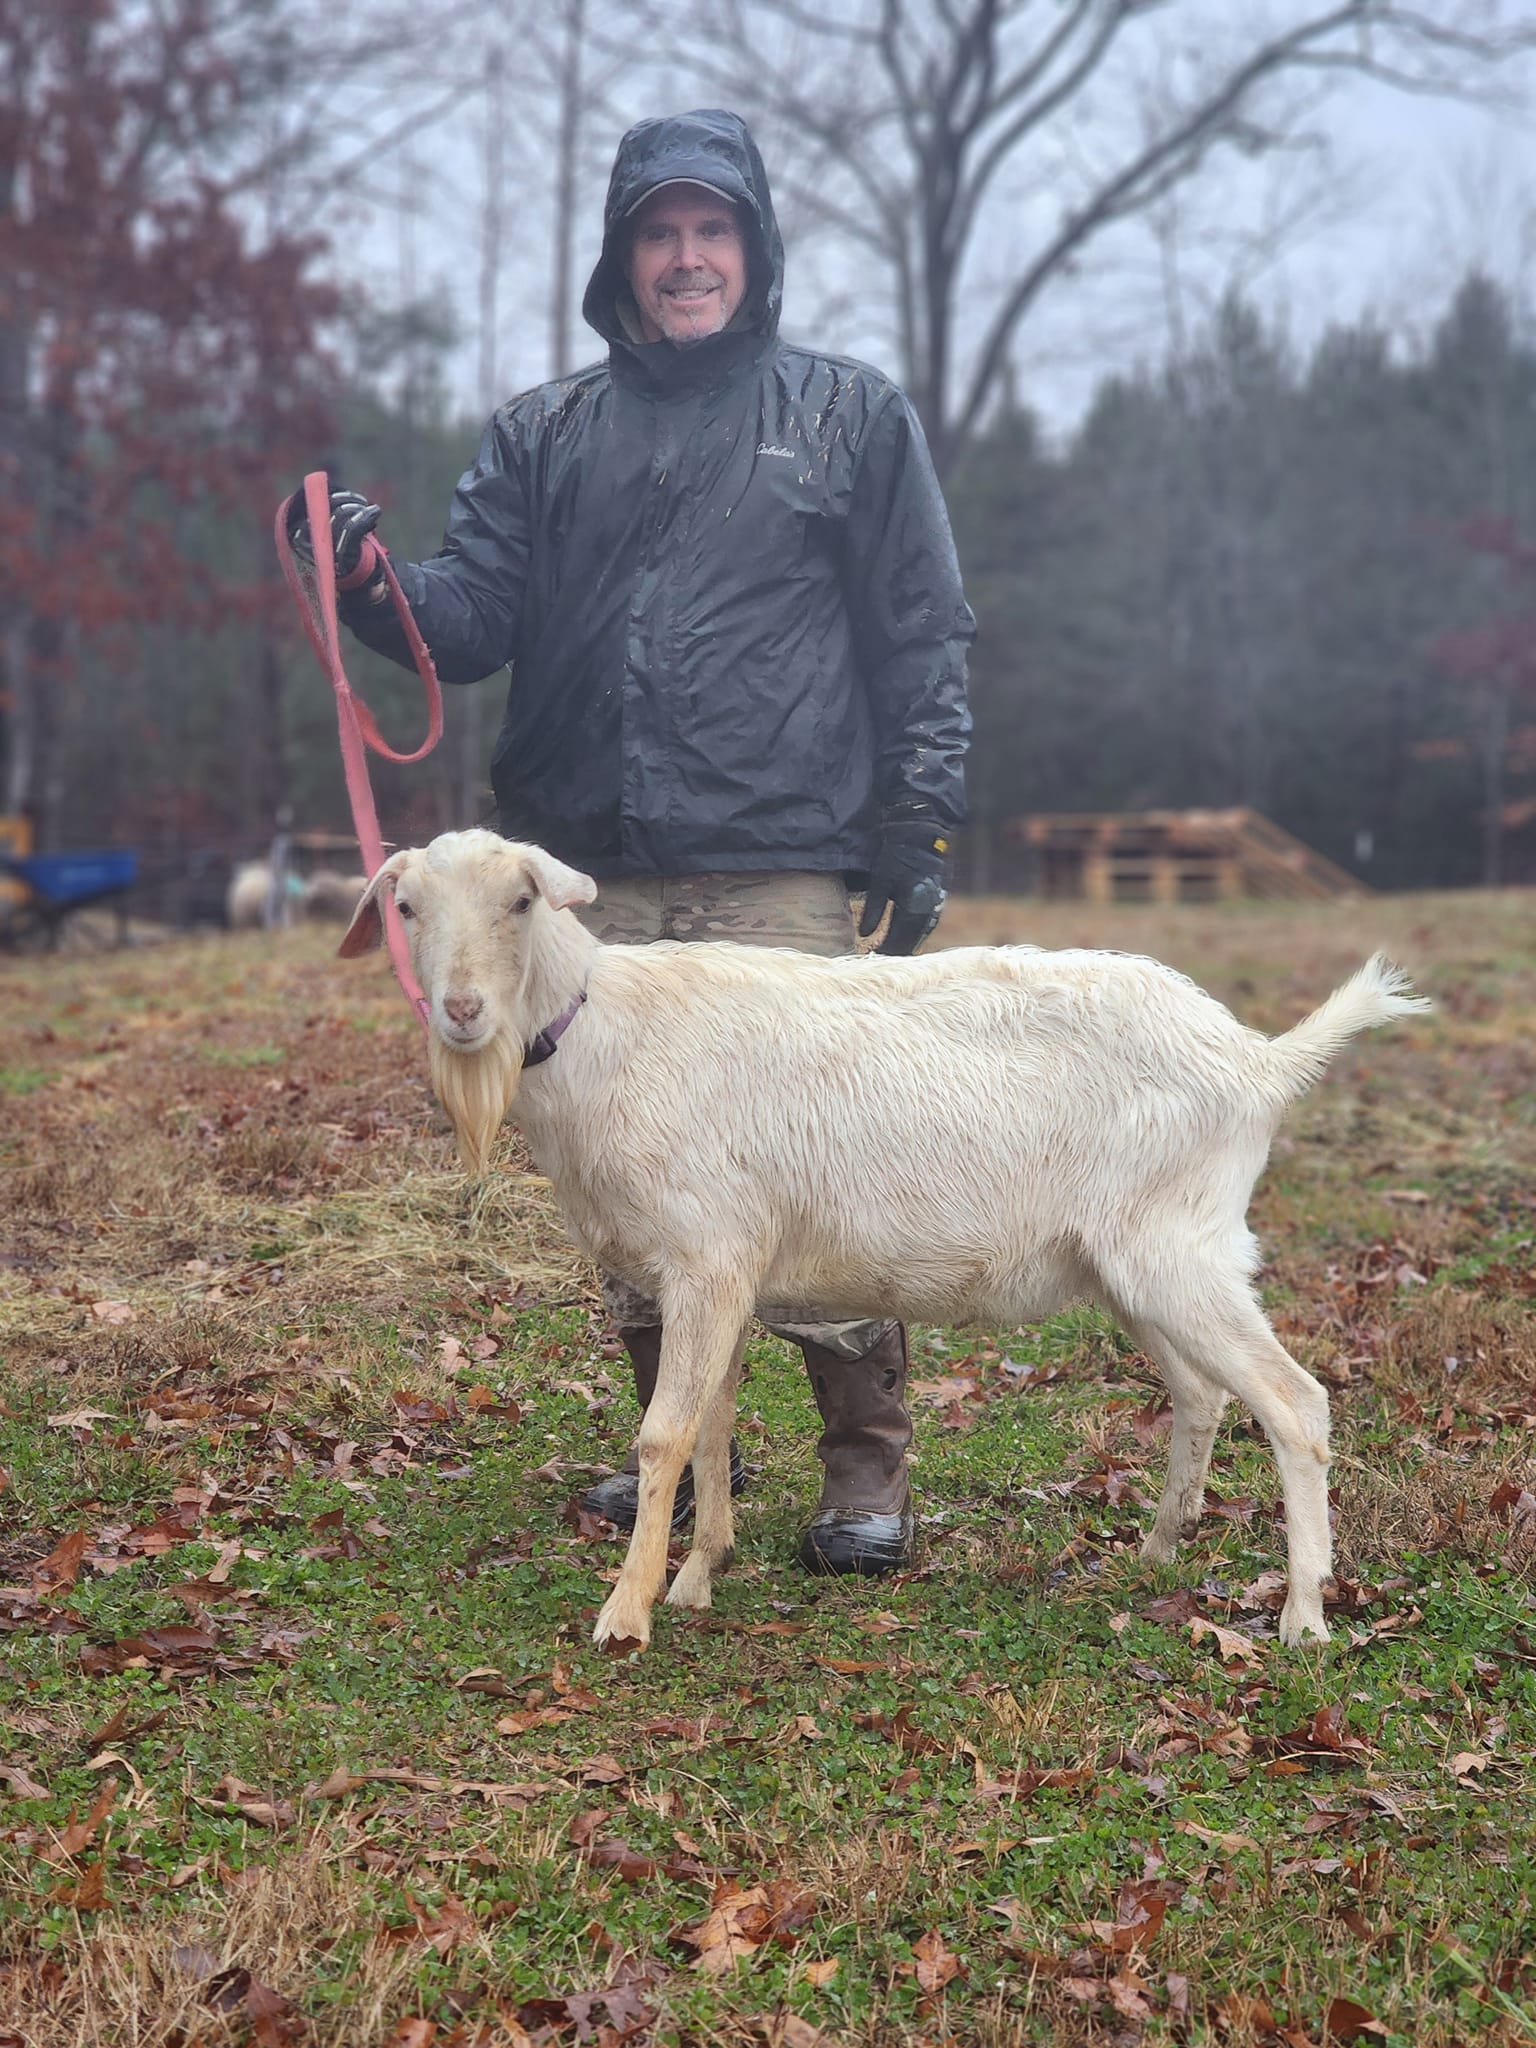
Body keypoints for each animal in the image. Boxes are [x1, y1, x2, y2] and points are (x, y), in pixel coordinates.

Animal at [342, 823, 1441, 1654]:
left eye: (523, 899)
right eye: (408, 908)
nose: (462, 1010)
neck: (604, 1033)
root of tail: (1260, 1060)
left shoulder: (704, 1254)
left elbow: (663, 1431)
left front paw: (628, 1610)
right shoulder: (725, 1271)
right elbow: (712, 1424)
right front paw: (701, 1573)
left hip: (1180, 1251)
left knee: (1296, 1402)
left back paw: (1303, 1615)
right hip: (1135, 1266)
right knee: (1205, 1393)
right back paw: (1158, 1550)